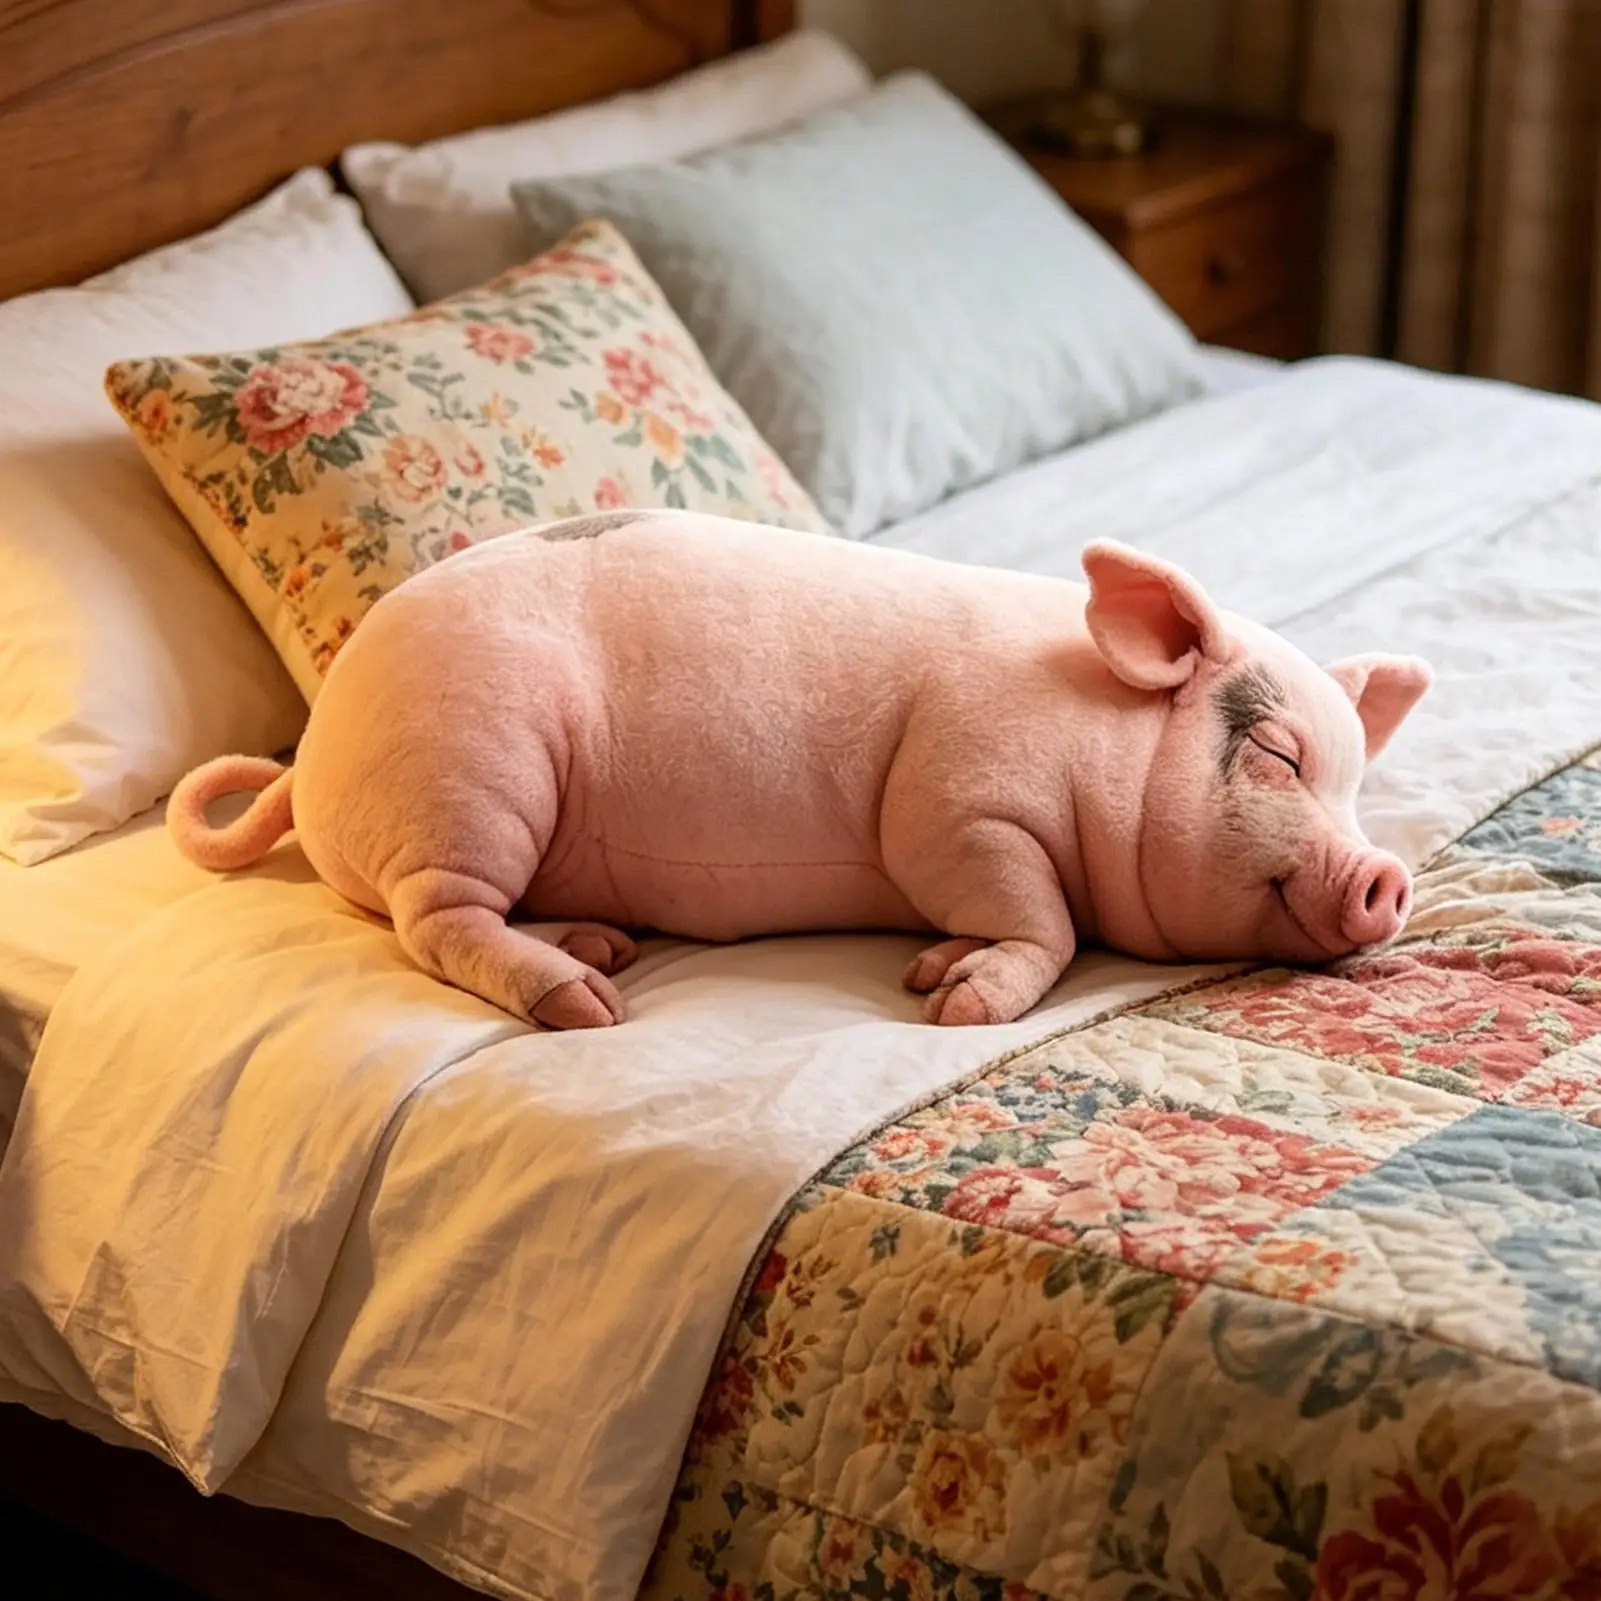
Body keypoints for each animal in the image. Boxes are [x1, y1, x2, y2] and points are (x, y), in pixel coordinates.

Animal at [168, 511, 1432, 1031]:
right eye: (1275, 753)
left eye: (1354, 788)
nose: (1385, 875)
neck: (1104, 748)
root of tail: (315, 745)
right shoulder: (955, 801)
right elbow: (1042, 921)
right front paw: (951, 1000)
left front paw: (935, 972)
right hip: (472, 769)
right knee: (434, 919)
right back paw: (590, 1003)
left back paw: (600, 947)